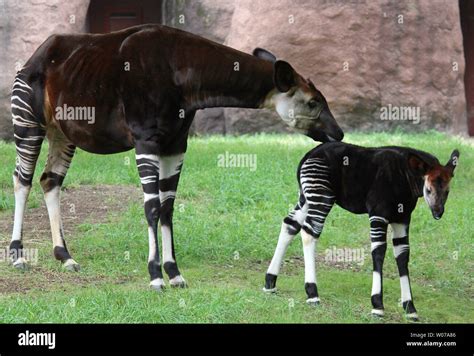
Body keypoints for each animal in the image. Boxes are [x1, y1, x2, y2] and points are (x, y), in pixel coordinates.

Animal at [9, 23, 342, 290]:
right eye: (313, 102)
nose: (338, 133)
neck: (183, 74)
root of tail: (36, 55)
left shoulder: (176, 144)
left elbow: (168, 208)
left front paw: (174, 273)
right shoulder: (146, 140)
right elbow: (152, 208)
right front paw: (155, 276)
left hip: (62, 132)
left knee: (50, 181)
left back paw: (65, 257)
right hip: (29, 122)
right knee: (23, 180)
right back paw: (17, 256)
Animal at [262, 142, 460, 320]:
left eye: (448, 191)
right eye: (428, 189)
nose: (438, 213)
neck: (407, 177)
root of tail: (308, 154)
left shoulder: (402, 219)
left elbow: (403, 256)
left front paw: (410, 308)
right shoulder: (378, 214)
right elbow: (379, 252)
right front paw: (377, 306)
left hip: (306, 196)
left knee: (290, 224)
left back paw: (270, 282)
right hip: (322, 196)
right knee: (309, 232)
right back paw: (312, 293)